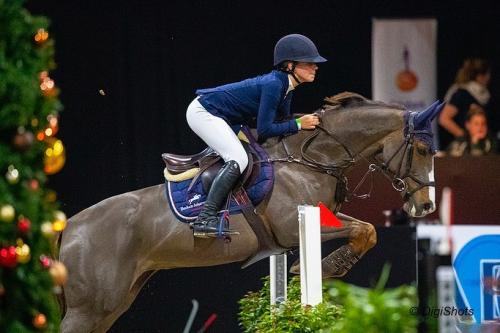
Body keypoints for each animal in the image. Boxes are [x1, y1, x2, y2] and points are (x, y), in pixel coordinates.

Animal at [58, 92, 442, 330]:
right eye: (424, 150)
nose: (426, 206)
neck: (312, 159)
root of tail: (67, 228)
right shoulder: (294, 226)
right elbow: (363, 230)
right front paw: (323, 267)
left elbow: (368, 230)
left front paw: (326, 266)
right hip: (89, 309)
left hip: (113, 304)